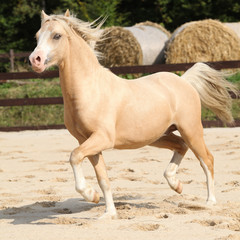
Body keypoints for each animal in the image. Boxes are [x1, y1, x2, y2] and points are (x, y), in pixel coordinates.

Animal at [29, 10, 236, 218]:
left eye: (57, 35)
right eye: (37, 36)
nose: (35, 60)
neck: (90, 90)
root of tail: (184, 80)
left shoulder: (102, 138)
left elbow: (73, 156)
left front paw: (90, 195)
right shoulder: (87, 141)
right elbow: (102, 178)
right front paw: (108, 212)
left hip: (191, 130)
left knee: (206, 159)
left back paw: (209, 202)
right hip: (158, 136)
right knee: (181, 146)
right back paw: (176, 184)